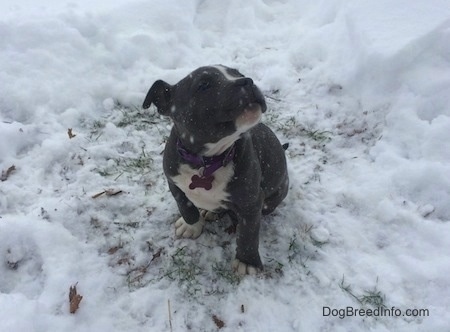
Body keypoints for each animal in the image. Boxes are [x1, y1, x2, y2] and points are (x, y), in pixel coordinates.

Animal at [145, 65, 292, 274]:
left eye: (238, 73)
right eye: (203, 85)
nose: (248, 81)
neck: (206, 161)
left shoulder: (251, 202)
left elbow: (248, 231)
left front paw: (247, 261)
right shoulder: (173, 182)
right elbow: (185, 206)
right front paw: (192, 226)